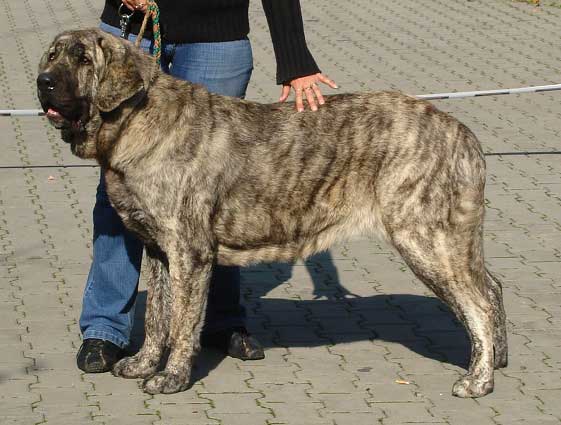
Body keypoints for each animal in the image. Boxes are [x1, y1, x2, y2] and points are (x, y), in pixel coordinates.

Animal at [35, 28, 508, 396]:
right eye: (53, 55)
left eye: (83, 59)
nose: (43, 82)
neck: (135, 121)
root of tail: (462, 133)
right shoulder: (158, 250)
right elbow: (155, 319)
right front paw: (142, 364)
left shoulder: (189, 253)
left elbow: (182, 323)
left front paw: (172, 378)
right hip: (451, 240)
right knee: (492, 288)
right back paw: (496, 359)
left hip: (426, 239)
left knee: (480, 304)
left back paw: (478, 381)